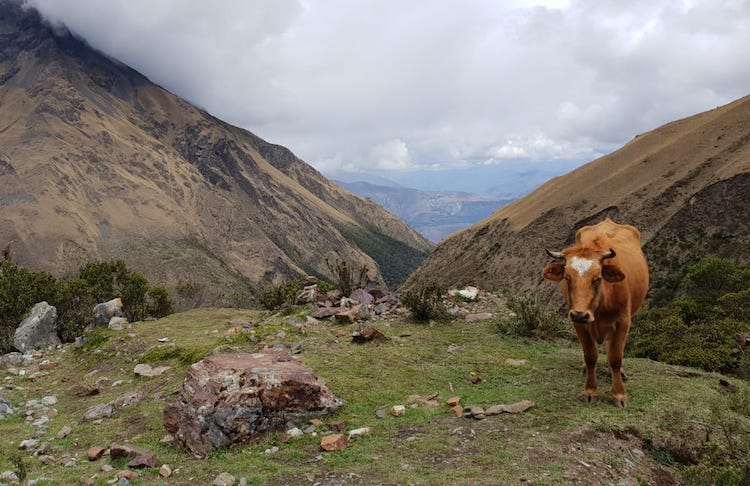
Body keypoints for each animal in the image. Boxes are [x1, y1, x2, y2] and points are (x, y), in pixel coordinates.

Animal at [544, 218, 648, 408]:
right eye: (567, 278)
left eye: (598, 278)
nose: (580, 314)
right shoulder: (578, 323)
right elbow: (591, 356)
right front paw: (591, 392)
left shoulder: (623, 321)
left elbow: (616, 357)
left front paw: (619, 395)